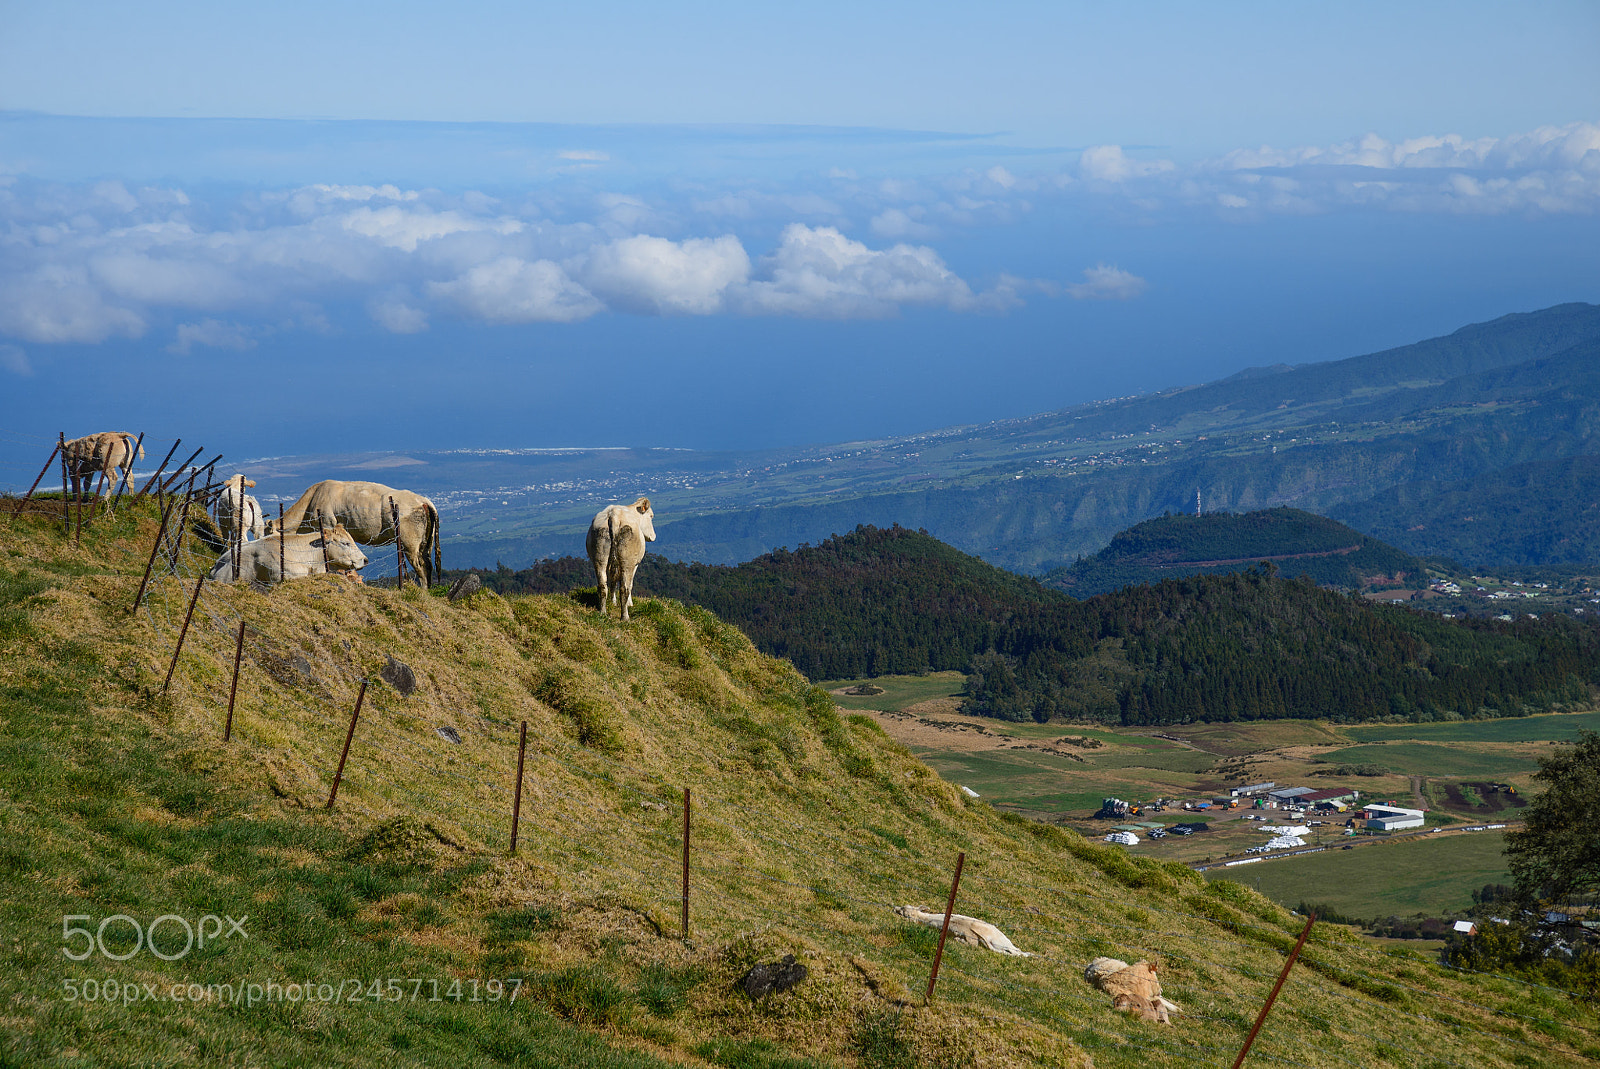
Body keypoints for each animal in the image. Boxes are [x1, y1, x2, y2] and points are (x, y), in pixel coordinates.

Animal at [278, 480, 440, 587]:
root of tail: (423, 500)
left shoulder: (327, 523)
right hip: (426, 542)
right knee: (429, 564)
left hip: (410, 543)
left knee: (421, 566)